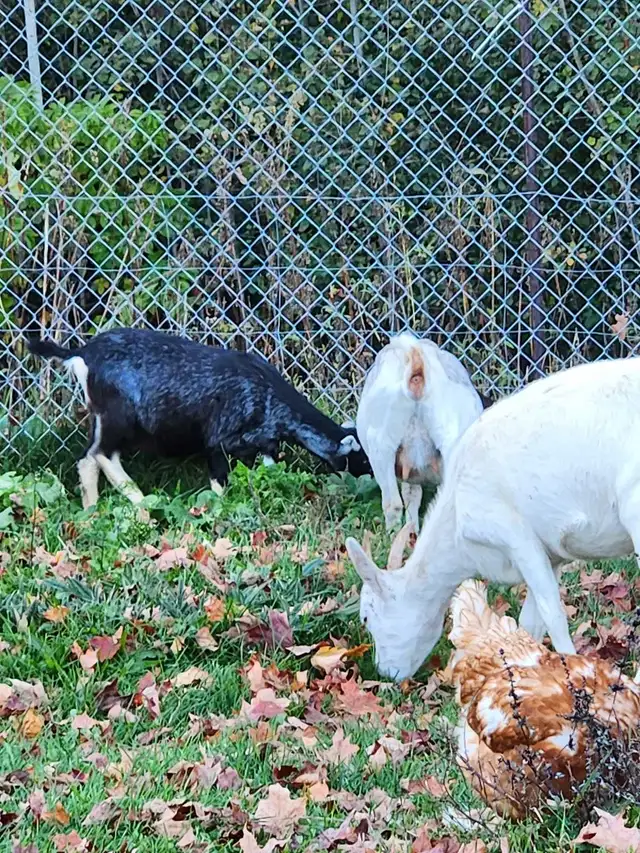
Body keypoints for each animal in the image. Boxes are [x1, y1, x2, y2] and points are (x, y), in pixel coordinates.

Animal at [27, 328, 371, 508]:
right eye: (365, 458)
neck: (268, 394)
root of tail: (82, 354)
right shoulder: (219, 440)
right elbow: (219, 481)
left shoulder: (263, 444)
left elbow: (268, 469)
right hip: (120, 416)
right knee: (103, 454)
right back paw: (140, 500)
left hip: (100, 417)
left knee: (87, 458)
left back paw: (92, 509)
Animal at [346, 356, 640, 682]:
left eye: (366, 616)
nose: (385, 673)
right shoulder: (551, 556)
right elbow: (530, 623)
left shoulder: (515, 535)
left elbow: (553, 615)